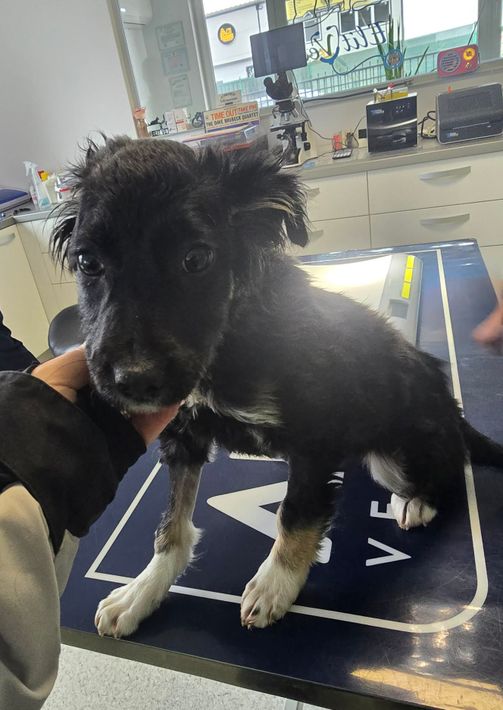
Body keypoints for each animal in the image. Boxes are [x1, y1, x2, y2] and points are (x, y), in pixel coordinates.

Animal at [51, 136, 503, 637]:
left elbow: (295, 512)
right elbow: (171, 525)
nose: (133, 382)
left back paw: (419, 502)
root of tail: (451, 411)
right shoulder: (184, 438)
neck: (231, 339)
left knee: (452, 473)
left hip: (399, 457)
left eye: (196, 259)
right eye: (87, 261)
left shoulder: (315, 437)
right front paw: (142, 590)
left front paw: (276, 583)